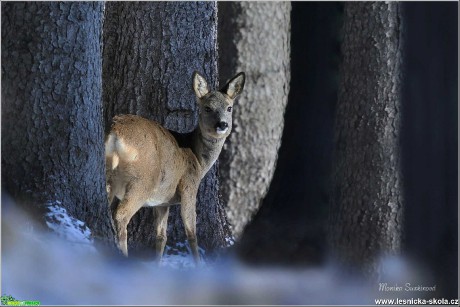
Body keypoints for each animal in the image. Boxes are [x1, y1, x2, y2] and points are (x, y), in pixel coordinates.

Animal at [106, 71, 246, 264]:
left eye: (229, 108)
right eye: (207, 108)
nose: (222, 125)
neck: (197, 160)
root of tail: (116, 132)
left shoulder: (162, 202)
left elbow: (161, 236)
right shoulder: (189, 186)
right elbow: (191, 233)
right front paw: (198, 264)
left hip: (109, 175)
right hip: (141, 181)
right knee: (121, 215)